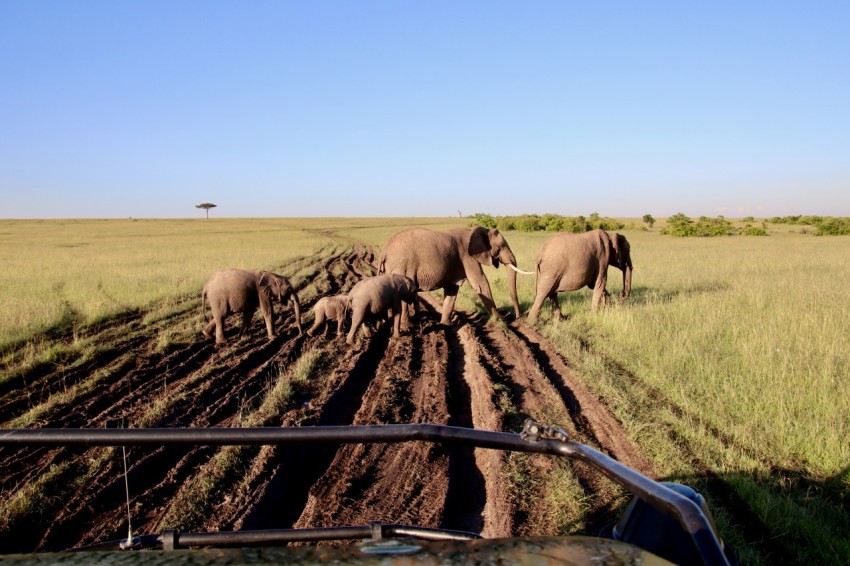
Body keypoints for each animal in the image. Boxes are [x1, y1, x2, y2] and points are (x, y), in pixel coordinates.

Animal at [378, 224, 528, 326]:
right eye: (501, 246)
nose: (517, 318)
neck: (476, 230)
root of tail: (384, 251)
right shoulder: (468, 257)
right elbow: (481, 284)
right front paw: (501, 321)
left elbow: (452, 290)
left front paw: (446, 325)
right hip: (401, 267)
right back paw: (407, 325)